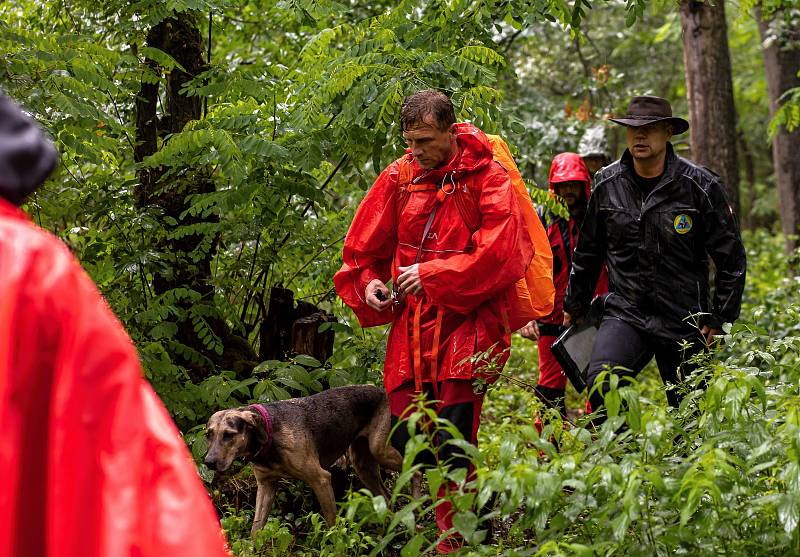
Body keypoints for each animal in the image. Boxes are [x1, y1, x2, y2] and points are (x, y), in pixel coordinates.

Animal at [203, 384, 404, 532]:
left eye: (229, 435)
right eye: (208, 435)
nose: (208, 462)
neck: (270, 433)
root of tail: (382, 390)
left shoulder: (321, 479)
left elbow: (332, 525)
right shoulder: (266, 485)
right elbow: (256, 530)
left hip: (380, 450)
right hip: (362, 465)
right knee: (386, 497)